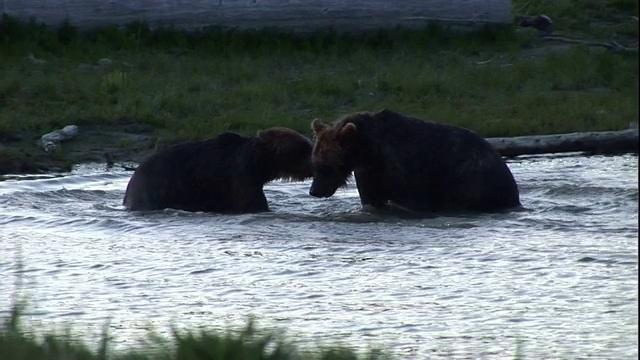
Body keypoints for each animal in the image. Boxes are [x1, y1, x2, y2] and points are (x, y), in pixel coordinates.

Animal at [124, 128, 314, 214]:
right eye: (304, 148)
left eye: (309, 144)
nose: (315, 166)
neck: (257, 166)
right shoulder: (239, 179)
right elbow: (252, 204)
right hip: (156, 189)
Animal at [308, 109, 524, 214]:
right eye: (315, 164)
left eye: (326, 167)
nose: (314, 191)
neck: (368, 152)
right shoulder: (368, 173)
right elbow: (371, 200)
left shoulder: (406, 167)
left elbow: (412, 197)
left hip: (472, 177)